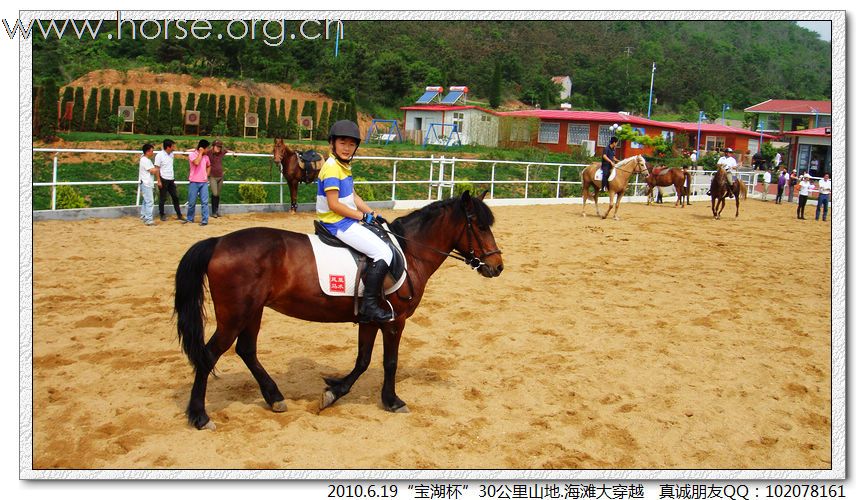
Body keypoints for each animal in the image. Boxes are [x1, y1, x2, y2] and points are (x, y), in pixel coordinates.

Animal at [174, 191, 506, 430]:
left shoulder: (370, 319)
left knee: (246, 350)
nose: (497, 266)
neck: (410, 251)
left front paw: (334, 391)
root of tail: (218, 242)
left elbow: (362, 361)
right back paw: (200, 416)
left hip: (252, 312)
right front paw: (392, 401)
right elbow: (390, 362)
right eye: (479, 226)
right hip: (235, 315)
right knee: (208, 356)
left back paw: (274, 397)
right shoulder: (395, 321)